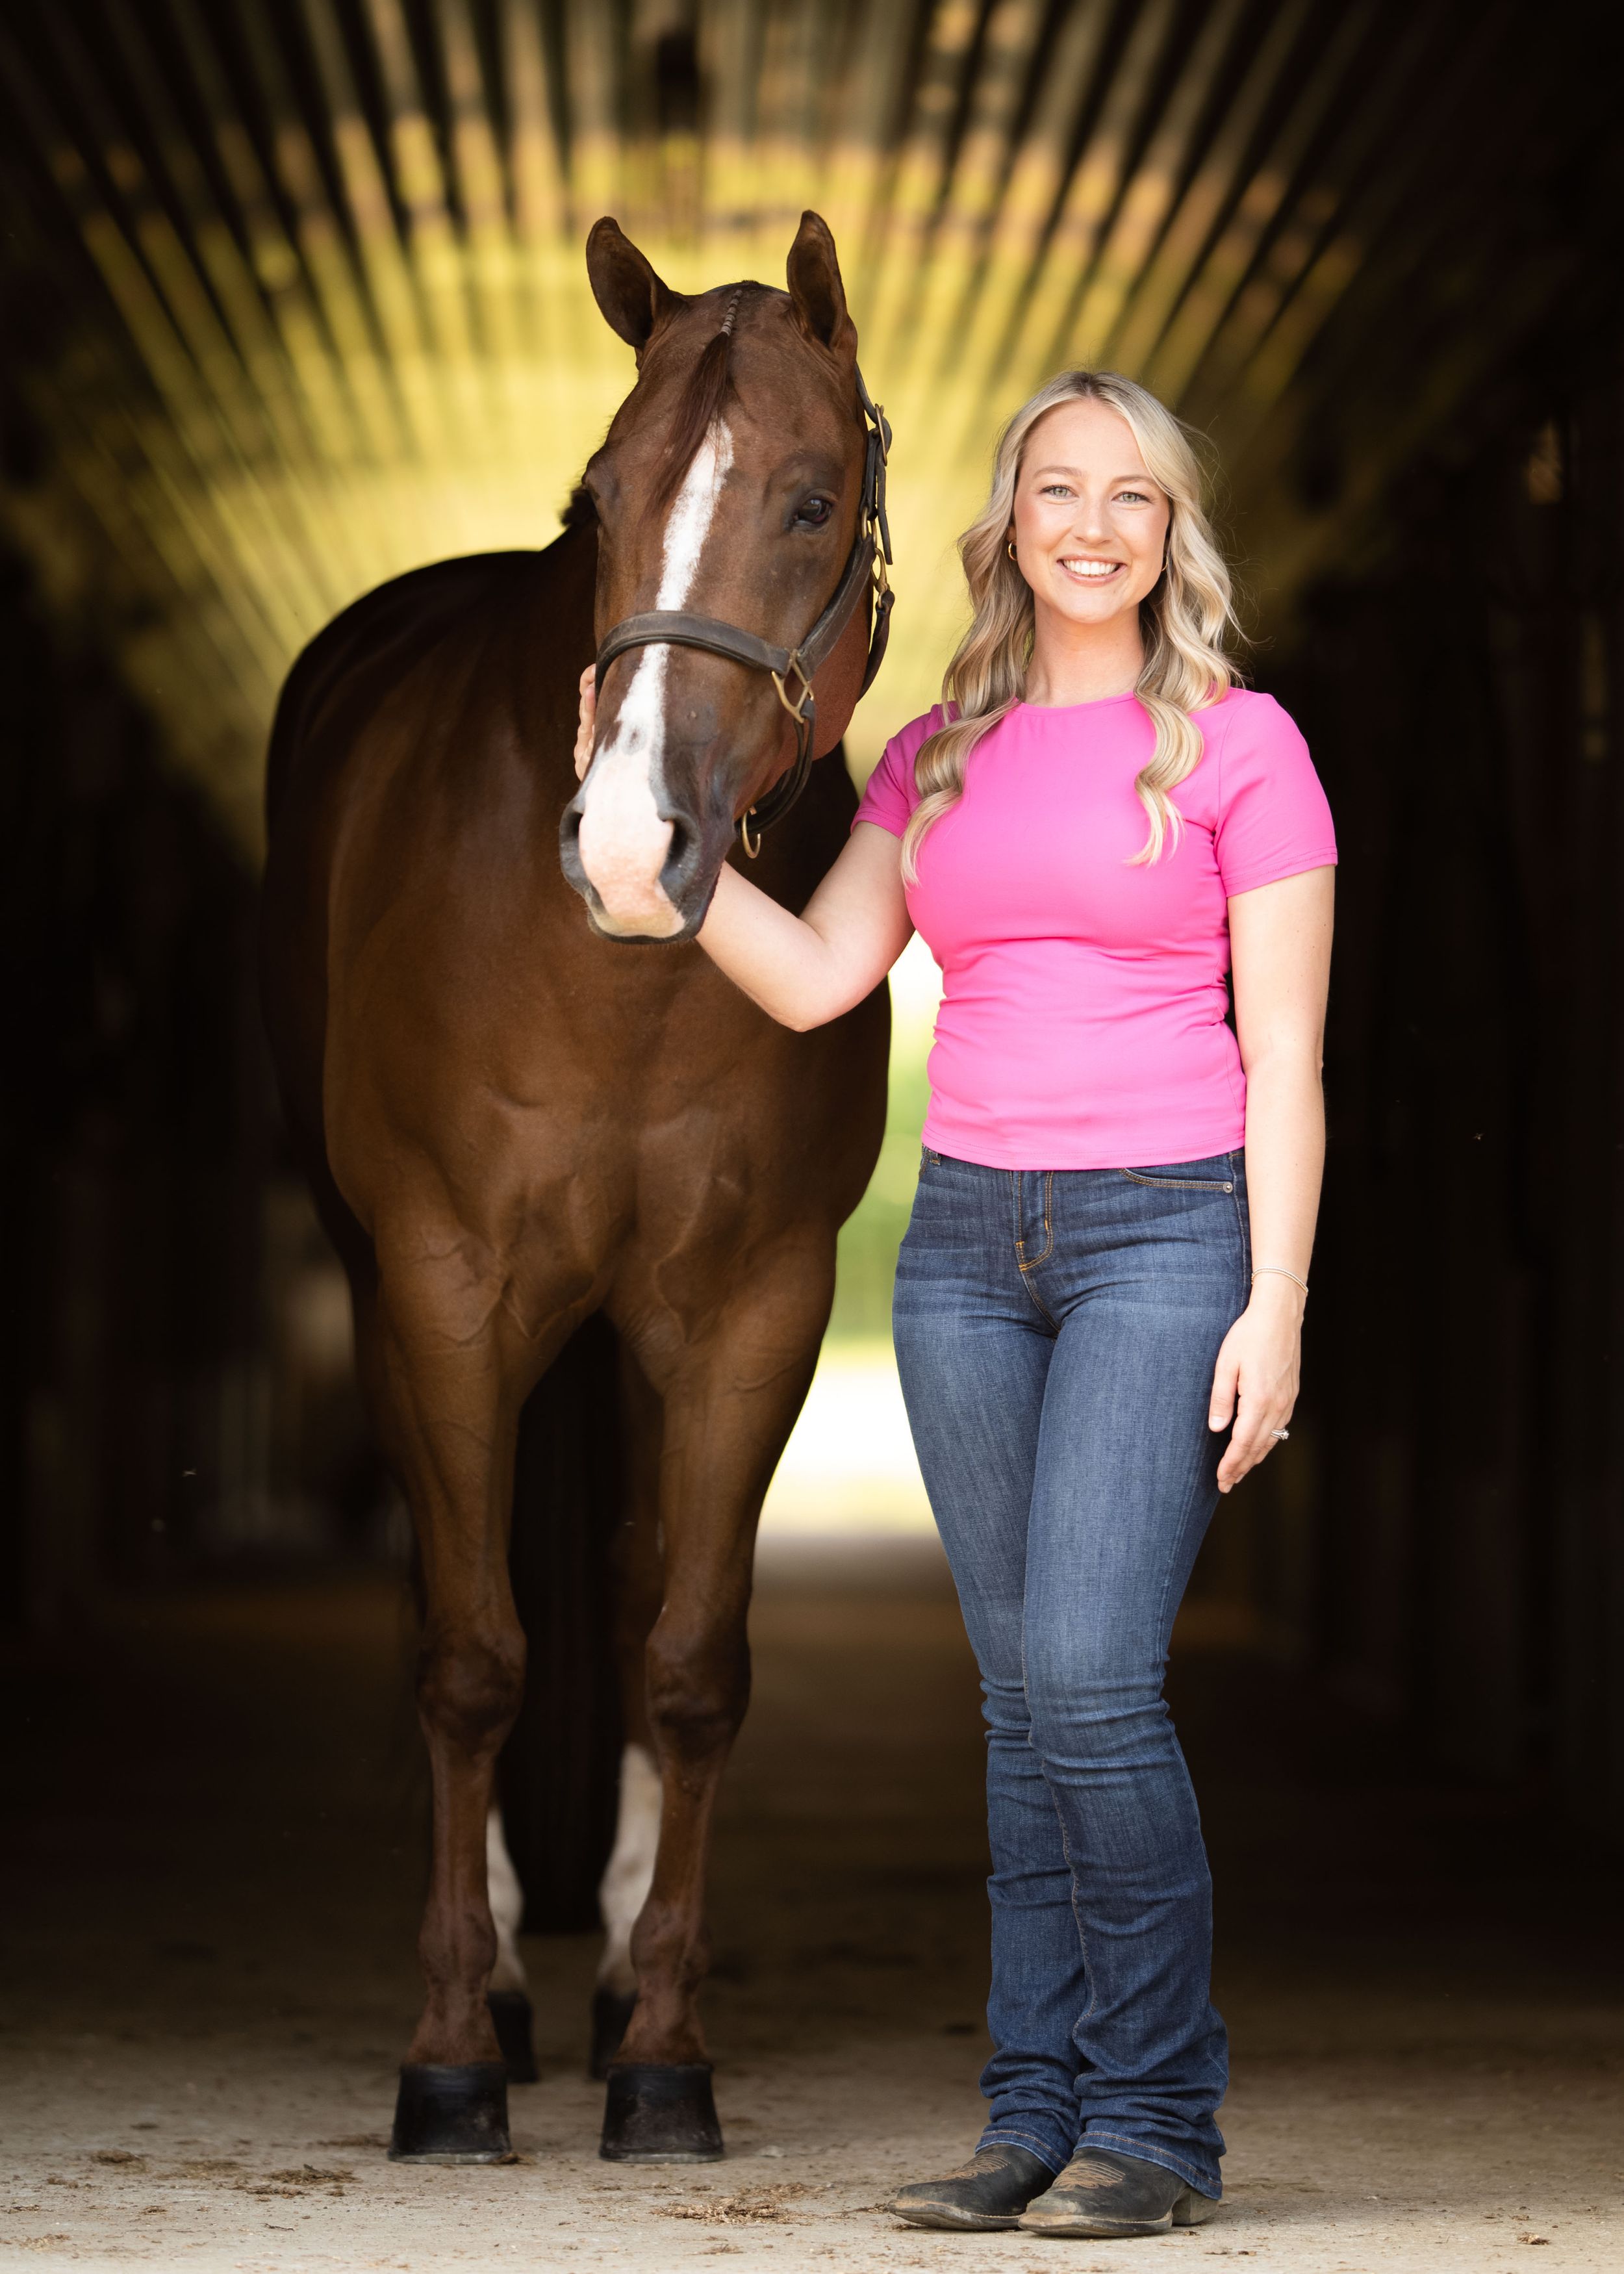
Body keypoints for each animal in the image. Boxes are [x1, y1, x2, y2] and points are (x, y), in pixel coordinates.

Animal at [258, 210, 893, 2166]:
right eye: (604, 495)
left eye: (812, 498)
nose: (627, 848)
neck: (614, 977)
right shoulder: (444, 1283)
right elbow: (470, 1655)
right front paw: (453, 2052)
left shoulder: (751, 1305)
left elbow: (686, 1659)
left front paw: (665, 2054)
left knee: (620, 1592)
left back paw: (605, 1973)